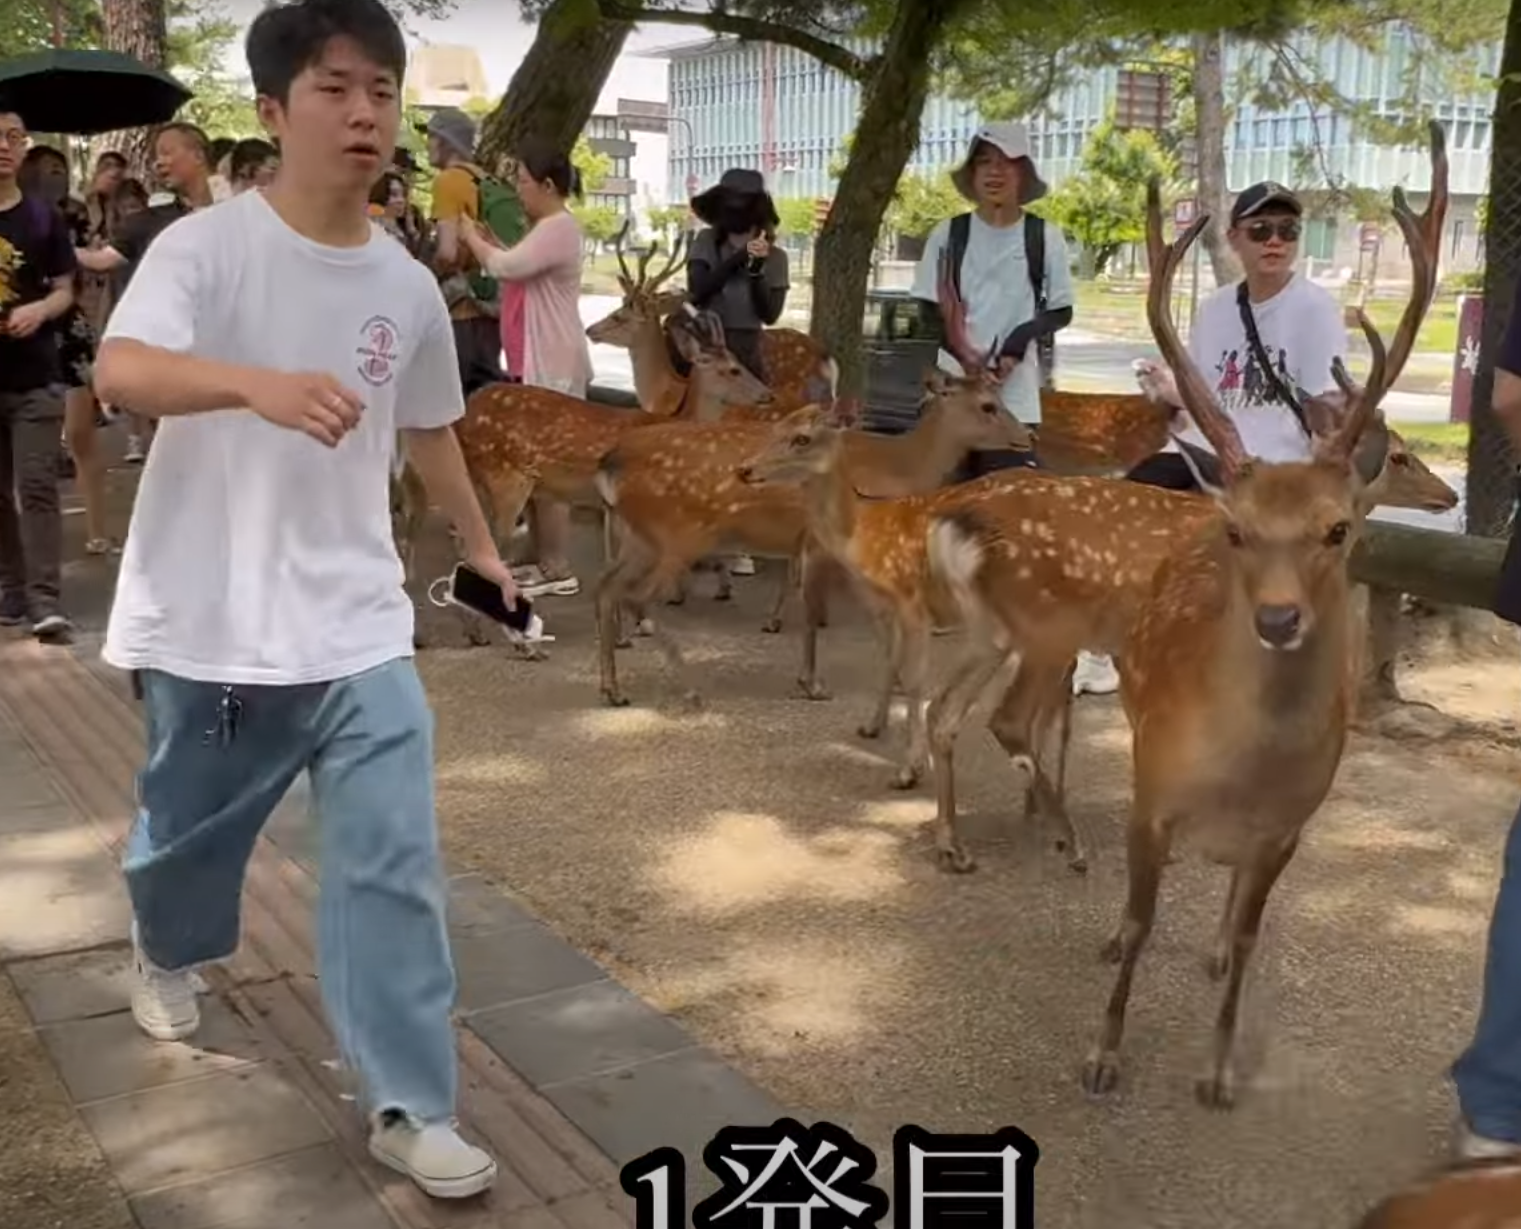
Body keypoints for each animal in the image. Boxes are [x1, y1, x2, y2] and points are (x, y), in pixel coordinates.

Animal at [922, 122, 1445, 1109]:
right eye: (1235, 528)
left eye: (1337, 527)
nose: (1278, 619)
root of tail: (949, 512)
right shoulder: (1150, 787)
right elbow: (1139, 914)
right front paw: (1103, 1052)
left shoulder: (1285, 829)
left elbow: (1241, 934)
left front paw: (1217, 1067)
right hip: (1039, 631)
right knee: (995, 719)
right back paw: (1052, 845)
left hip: (995, 630)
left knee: (950, 713)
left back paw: (970, 839)